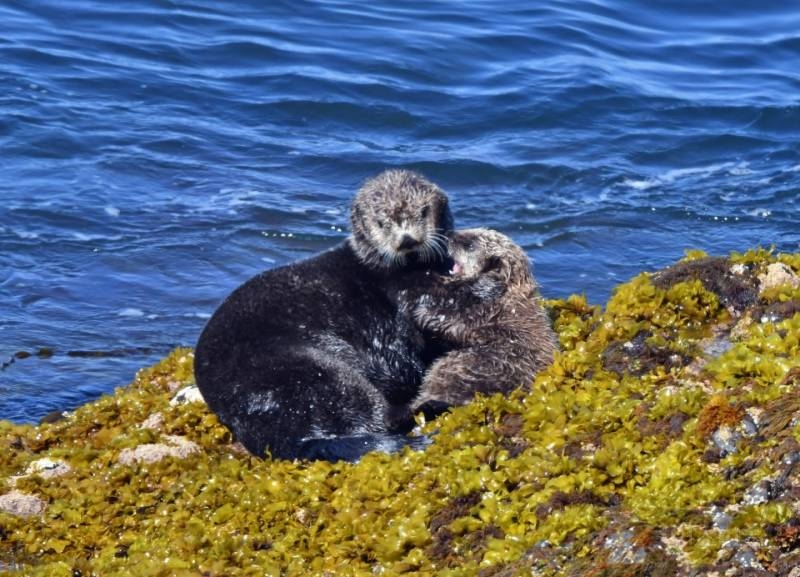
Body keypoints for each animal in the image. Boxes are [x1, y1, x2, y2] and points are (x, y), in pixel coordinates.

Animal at [193, 169, 454, 462]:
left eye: (423, 211)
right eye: (381, 223)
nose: (407, 240)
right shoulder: (391, 318)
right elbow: (401, 362)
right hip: (315, 374)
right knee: (379, 419)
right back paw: (430, 406)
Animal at [406, 227, 556, 416]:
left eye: (469, 246)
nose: (449, 236)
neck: (508, 292)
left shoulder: (487, 313)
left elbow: (458, 324)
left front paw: (423, 311)